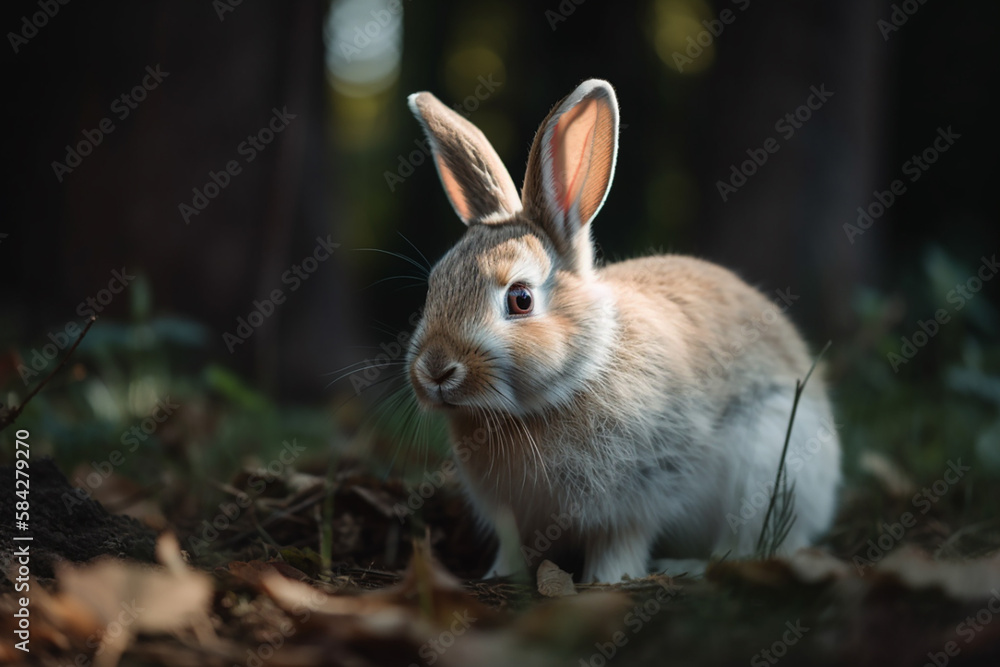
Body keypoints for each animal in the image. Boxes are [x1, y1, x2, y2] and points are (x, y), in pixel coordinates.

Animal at [404, 79, 841, 583]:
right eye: (433, 287)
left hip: (767, 457)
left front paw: (605, 582)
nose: (435, 370)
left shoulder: (639, 495)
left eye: (521, 299)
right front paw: (497, 576)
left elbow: (621, 544)